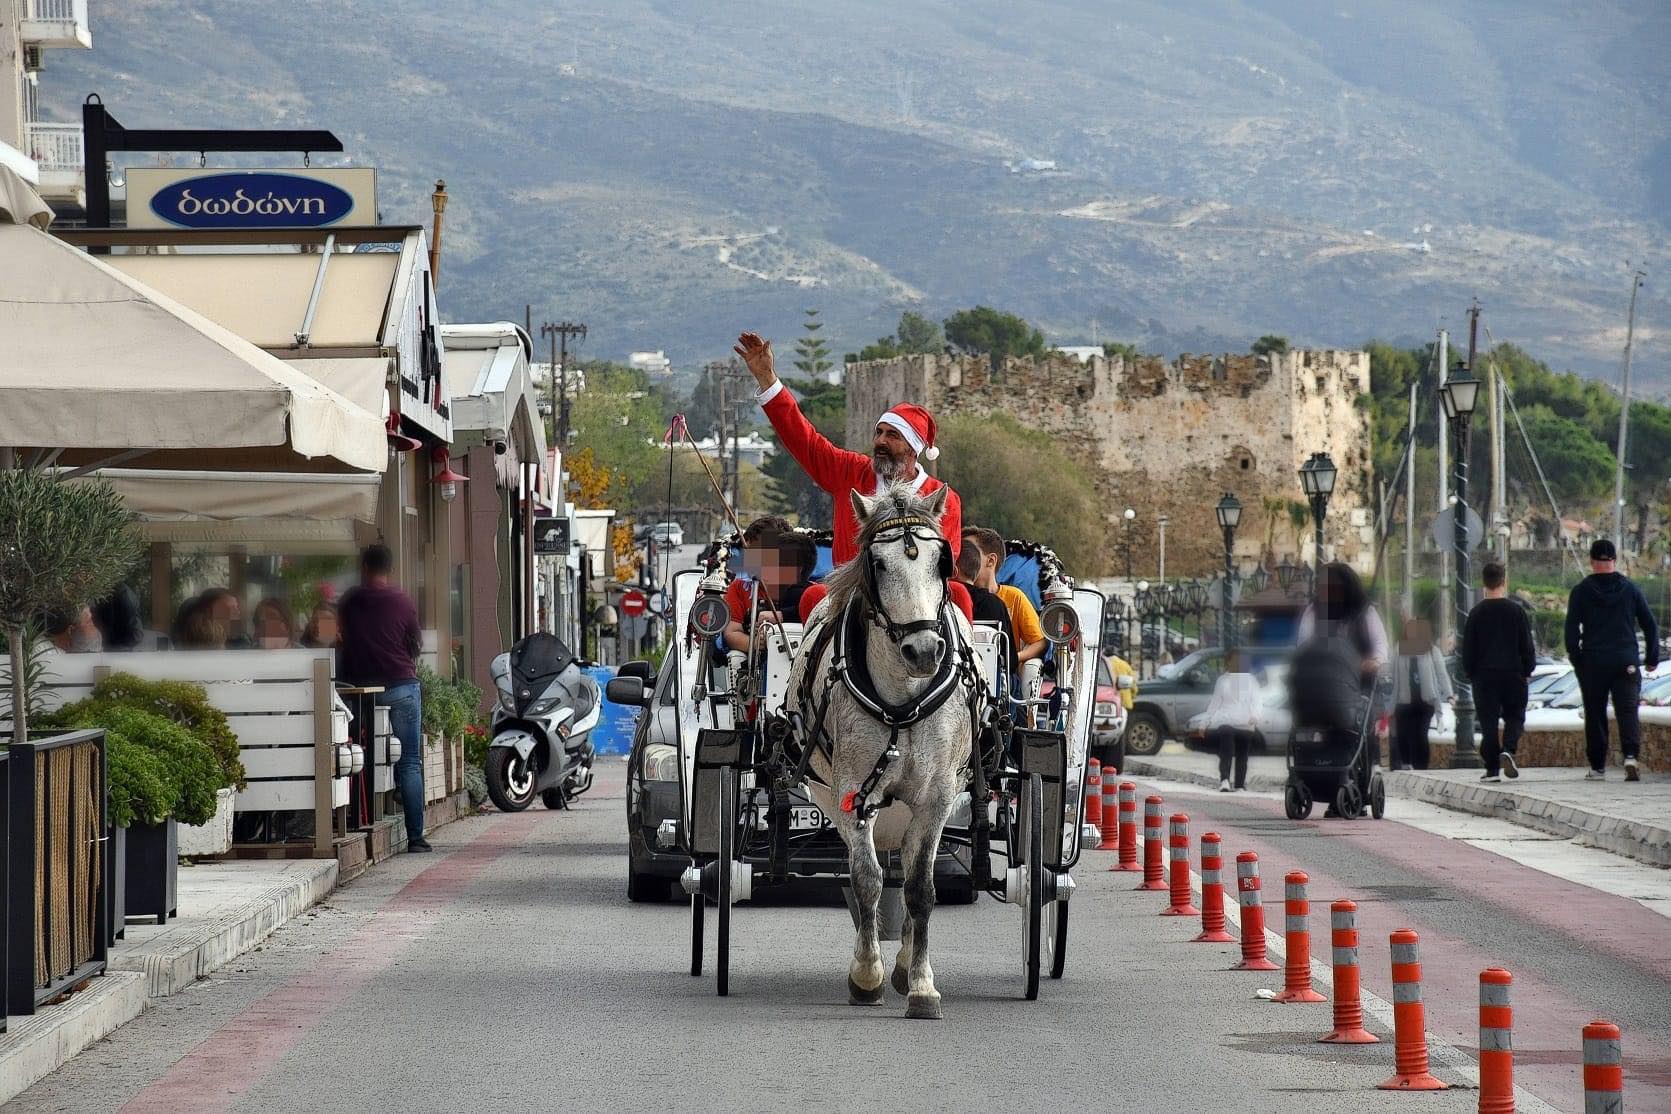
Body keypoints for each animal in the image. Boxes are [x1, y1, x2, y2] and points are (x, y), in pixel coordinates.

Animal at [785, 484, 975, 1022]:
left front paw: (922, 986)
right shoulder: (854, 794)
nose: (924, 652)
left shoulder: (936, 799)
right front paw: (866, 975)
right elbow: (867, 880)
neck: (902, 699)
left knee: (910, 871)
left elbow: (921, 889)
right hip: (830, 797)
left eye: (941, 561)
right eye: (879, 564)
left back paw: (907, 964)